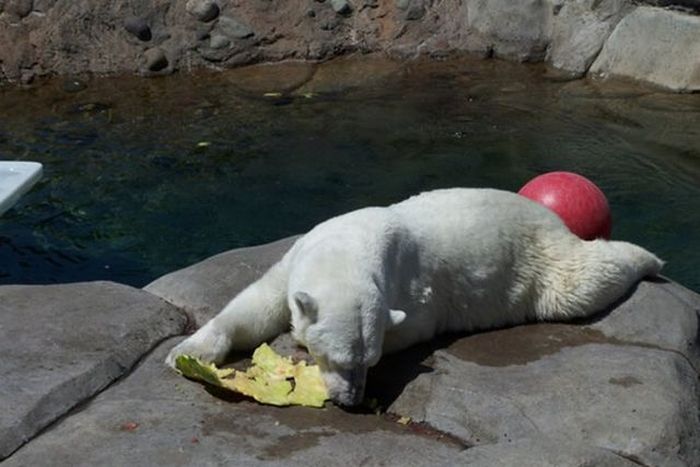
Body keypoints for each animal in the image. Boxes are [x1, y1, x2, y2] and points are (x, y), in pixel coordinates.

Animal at [167, 188, 664, 408]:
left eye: (369, 362)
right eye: (342, 360)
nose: (351, 401)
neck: (344, 245)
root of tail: (551, 218)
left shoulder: (413, 290)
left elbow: (412, 323)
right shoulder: (296, 257)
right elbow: (256, 303)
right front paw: (186, 353)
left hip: (542, 261)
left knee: (580, 282)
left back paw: (650, 258)